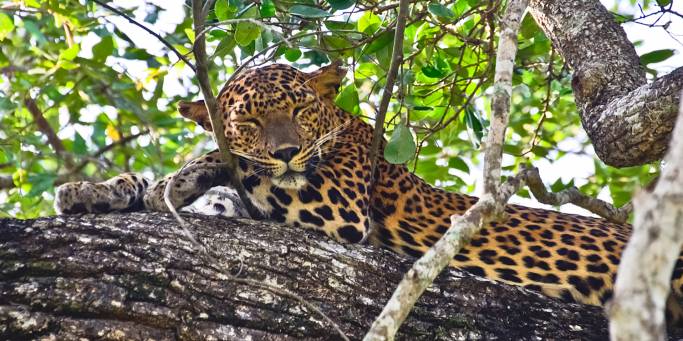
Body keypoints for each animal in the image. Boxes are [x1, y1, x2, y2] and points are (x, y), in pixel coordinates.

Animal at [54, 61, 683, 316]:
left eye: (299, 109)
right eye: (250, 120)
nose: (287, 151)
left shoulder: (336, 205)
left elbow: (230, 166)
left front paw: (186, 173)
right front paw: (94, 191)